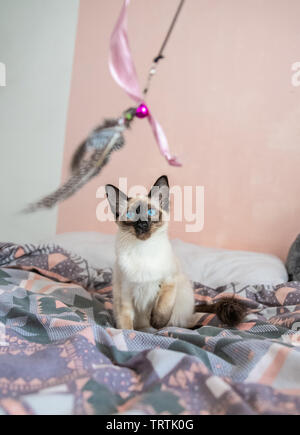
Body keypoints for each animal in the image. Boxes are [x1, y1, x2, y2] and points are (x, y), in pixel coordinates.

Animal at [105, 175, 246, 330]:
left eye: (150, 213)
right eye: (131, 215)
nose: (142, 224)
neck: (143, 249)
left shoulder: (169, 281)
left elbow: (162, 309)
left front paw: (156, 323)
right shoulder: (125, 293)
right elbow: (125, 325)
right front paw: (129, 333)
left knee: (178, 324)